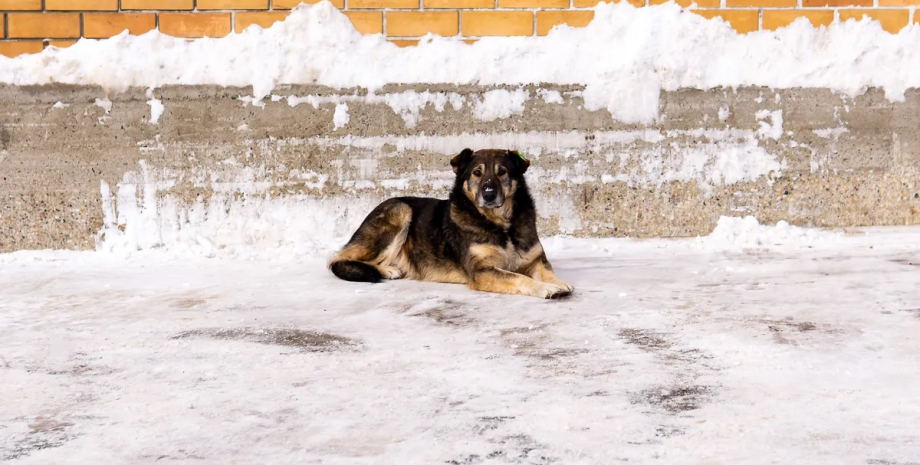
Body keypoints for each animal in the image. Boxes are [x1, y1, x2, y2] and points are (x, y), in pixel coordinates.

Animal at [330, 150, 572, 300]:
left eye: (502, 172)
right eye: (477, 173)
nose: (489, 194)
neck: (499, 224)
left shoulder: (536, 261)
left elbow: (547, 272)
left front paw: (558, 282)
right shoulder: (481, 272)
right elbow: (519, 277)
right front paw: (545, 288)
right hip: (400, 210)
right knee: (338, 260)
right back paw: (387, 270)